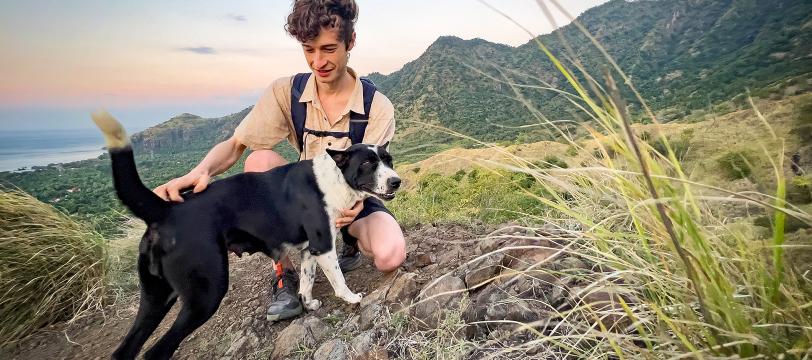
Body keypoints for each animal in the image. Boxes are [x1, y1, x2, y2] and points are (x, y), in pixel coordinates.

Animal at [90, 110, 402, 360]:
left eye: (389, 160)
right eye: (367, 164)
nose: (396, 181)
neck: (334, 178)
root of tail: (166, 209)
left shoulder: (309, 249)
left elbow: (307, 281)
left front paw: (308, 302)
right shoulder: (324, 245)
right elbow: (337, 278)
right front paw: (350, 298)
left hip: (155, 297)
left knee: (125, 351)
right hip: (206, 294)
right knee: (156, 351)